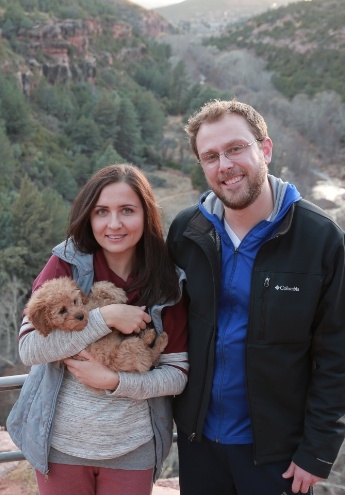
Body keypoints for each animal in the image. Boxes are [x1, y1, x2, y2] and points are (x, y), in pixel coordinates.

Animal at [25, 280, 168, 372]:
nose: (80, 316)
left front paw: (116, 292)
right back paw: (156, 337)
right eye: (62, 311)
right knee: (149, 355)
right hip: (129, 349)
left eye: (75, 301)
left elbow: (99, 288)